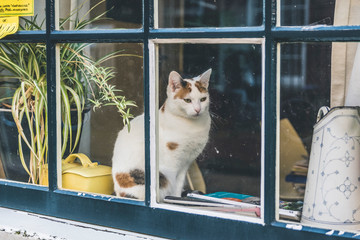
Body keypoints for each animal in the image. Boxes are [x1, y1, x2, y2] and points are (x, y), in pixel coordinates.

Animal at [112, 69, 212, 201]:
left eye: (203, 99)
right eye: (187, 100)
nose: (198, 110)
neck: (192, 126)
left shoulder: (186, 163)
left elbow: (179, 184)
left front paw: (177, 197)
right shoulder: (172, 162)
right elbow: (174, 182)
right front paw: (173, 198)